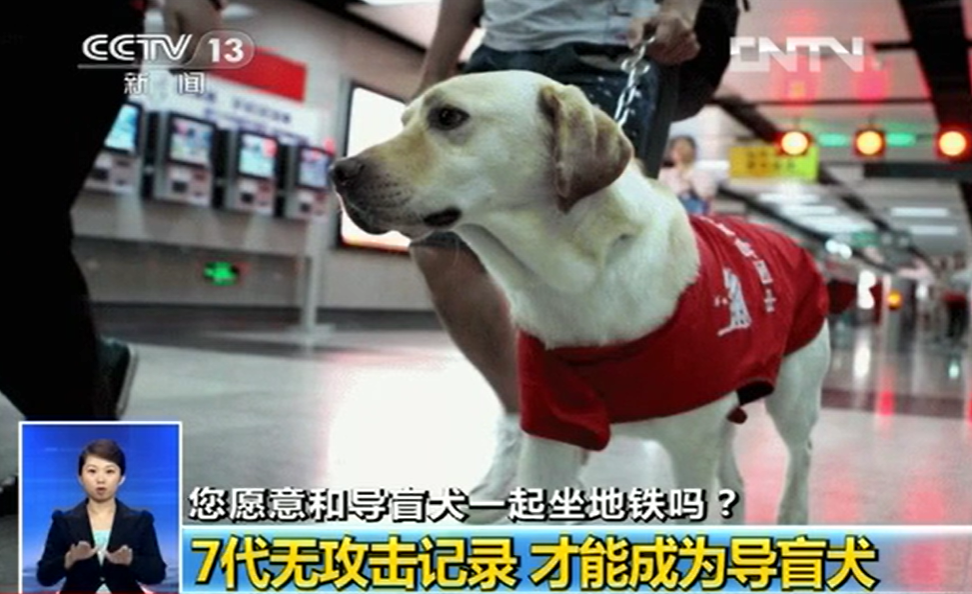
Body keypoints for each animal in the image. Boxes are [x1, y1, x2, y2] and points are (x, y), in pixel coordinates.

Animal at [330, 70, 831, 525]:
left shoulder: (691, 448)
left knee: (802, 455)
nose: (339, 171)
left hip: (792, 397)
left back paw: (794, 514)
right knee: (738, 484)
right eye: (404, 120)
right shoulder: (551, 435)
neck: (578, 280)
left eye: (449, 117)